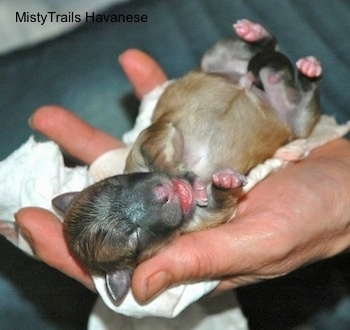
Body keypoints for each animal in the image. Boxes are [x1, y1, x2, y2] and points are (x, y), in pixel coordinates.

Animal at [52, 19, 322, 304]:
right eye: (136, 235)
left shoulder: (150, 137)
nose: (165, 193)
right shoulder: (203, 221)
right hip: (297, 118)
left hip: (219, 58)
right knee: (305, 100)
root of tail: (253, 83)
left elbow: (157, 146)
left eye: (116, 184)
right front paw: (224, 181)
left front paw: (188, 175)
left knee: (260, 49)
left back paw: (262, 38)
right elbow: (219, 204)